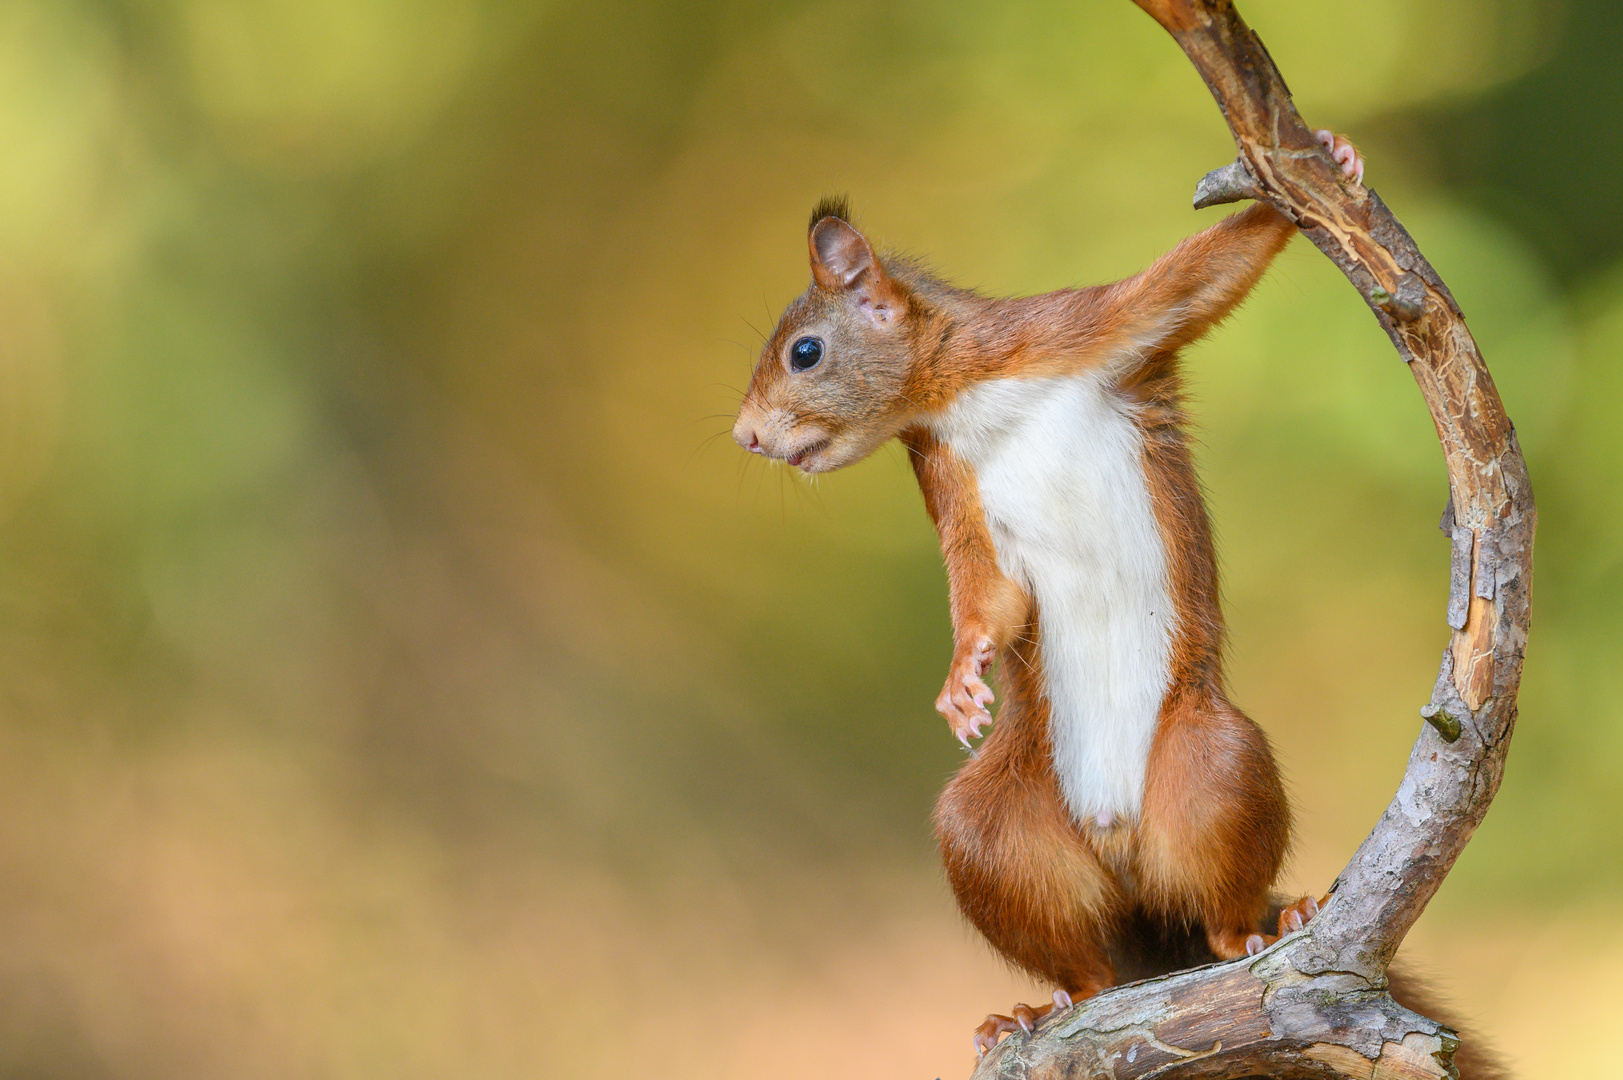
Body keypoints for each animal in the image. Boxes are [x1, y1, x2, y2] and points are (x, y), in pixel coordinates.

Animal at [733, 128, 1493, 1071]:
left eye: (804, 351)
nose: (744, 435)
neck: (964, 395)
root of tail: (1122, 847)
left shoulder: (1088, 329)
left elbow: (1202, 274)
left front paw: (1328, 162)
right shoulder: (949, 484)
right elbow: (989, 597)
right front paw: (962, 676)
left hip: (1214, 766)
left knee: (1218, 911)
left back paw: (1266, 927)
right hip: (995, 830)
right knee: (1082, 960)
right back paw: (1036, 1009)